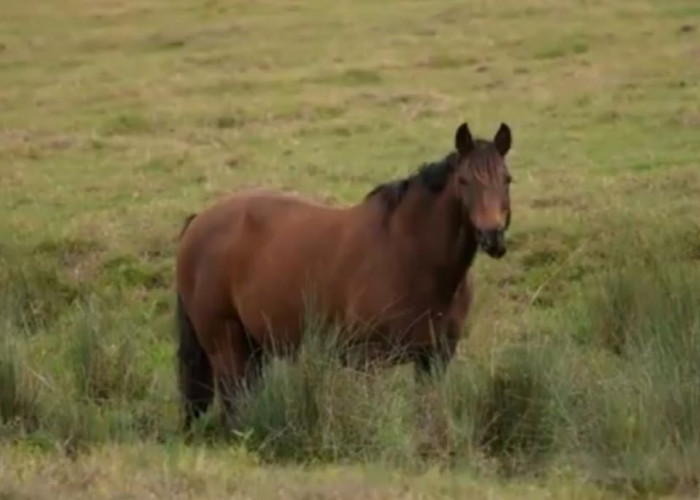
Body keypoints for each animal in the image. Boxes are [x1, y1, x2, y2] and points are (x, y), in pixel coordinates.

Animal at [175, 122, 516, 430]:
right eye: (464, 180)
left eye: (507, 179)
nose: (493, 236)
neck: (411, 255)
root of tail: (198, 222)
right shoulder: (367, 360)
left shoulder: (434, 358)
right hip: (225, 343)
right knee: (234, 402)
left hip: (254, 345)